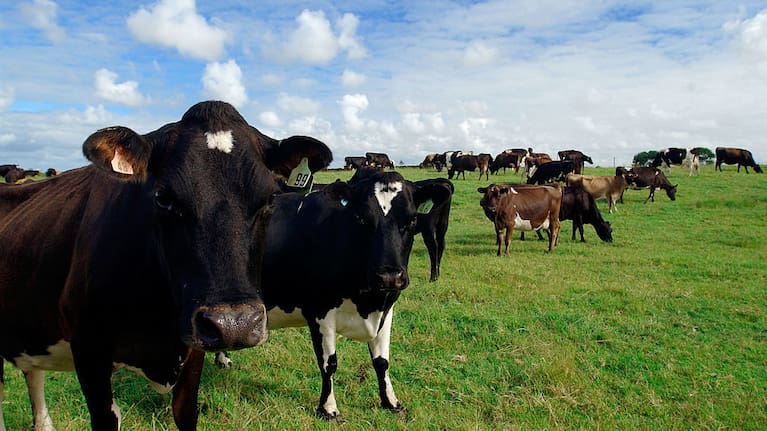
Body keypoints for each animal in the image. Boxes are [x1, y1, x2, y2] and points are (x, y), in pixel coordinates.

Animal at [0, 101, 332, 431]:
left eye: (270, 198)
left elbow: (186, 412)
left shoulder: (193, 348)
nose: (234, 325)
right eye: (163, 198)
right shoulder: (89, 352)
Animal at [214, 170, 446, 419]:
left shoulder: (387, 308)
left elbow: (382, 362)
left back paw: (222, 358)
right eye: (361, 219)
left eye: (412, 220)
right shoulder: (319, 311)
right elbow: (329, 363)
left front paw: (391, 402)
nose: (389, 276)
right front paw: (328, 408)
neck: (367, 302)